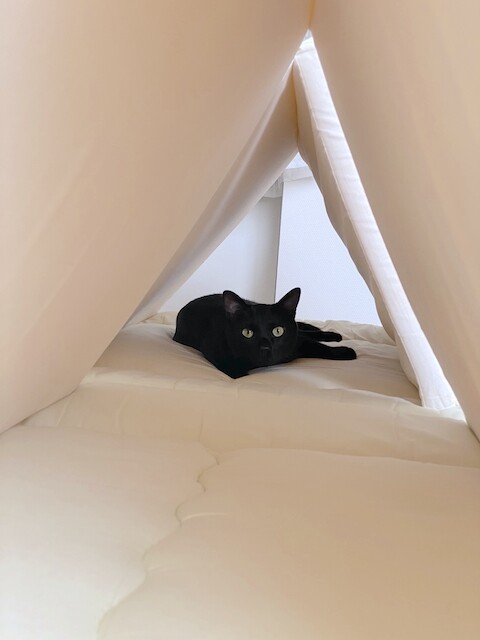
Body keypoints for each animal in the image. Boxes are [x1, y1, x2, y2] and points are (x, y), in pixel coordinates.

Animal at [173, 287, 356, 379]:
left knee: (303, 330)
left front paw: (345, 352)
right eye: (247, 333)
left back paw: (333, 335)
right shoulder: (223, 359)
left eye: (278, 331)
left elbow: (319, 347)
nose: (265, 347)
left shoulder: (296, 341)